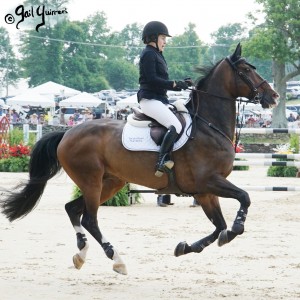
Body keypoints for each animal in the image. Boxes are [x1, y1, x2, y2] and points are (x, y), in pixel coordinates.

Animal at [1, 43, 280, 276]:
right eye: (246, 70)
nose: (274, 96)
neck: (208, 126)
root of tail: (67, 133)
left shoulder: (204, 191)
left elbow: (218, 227)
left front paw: (185, 247)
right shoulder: (209, 181)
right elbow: (244, 199)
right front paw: (236, 227)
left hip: (110, 183)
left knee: (73, 210)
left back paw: (81, 253)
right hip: (92, 181)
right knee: (89, 219)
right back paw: (116, 259)